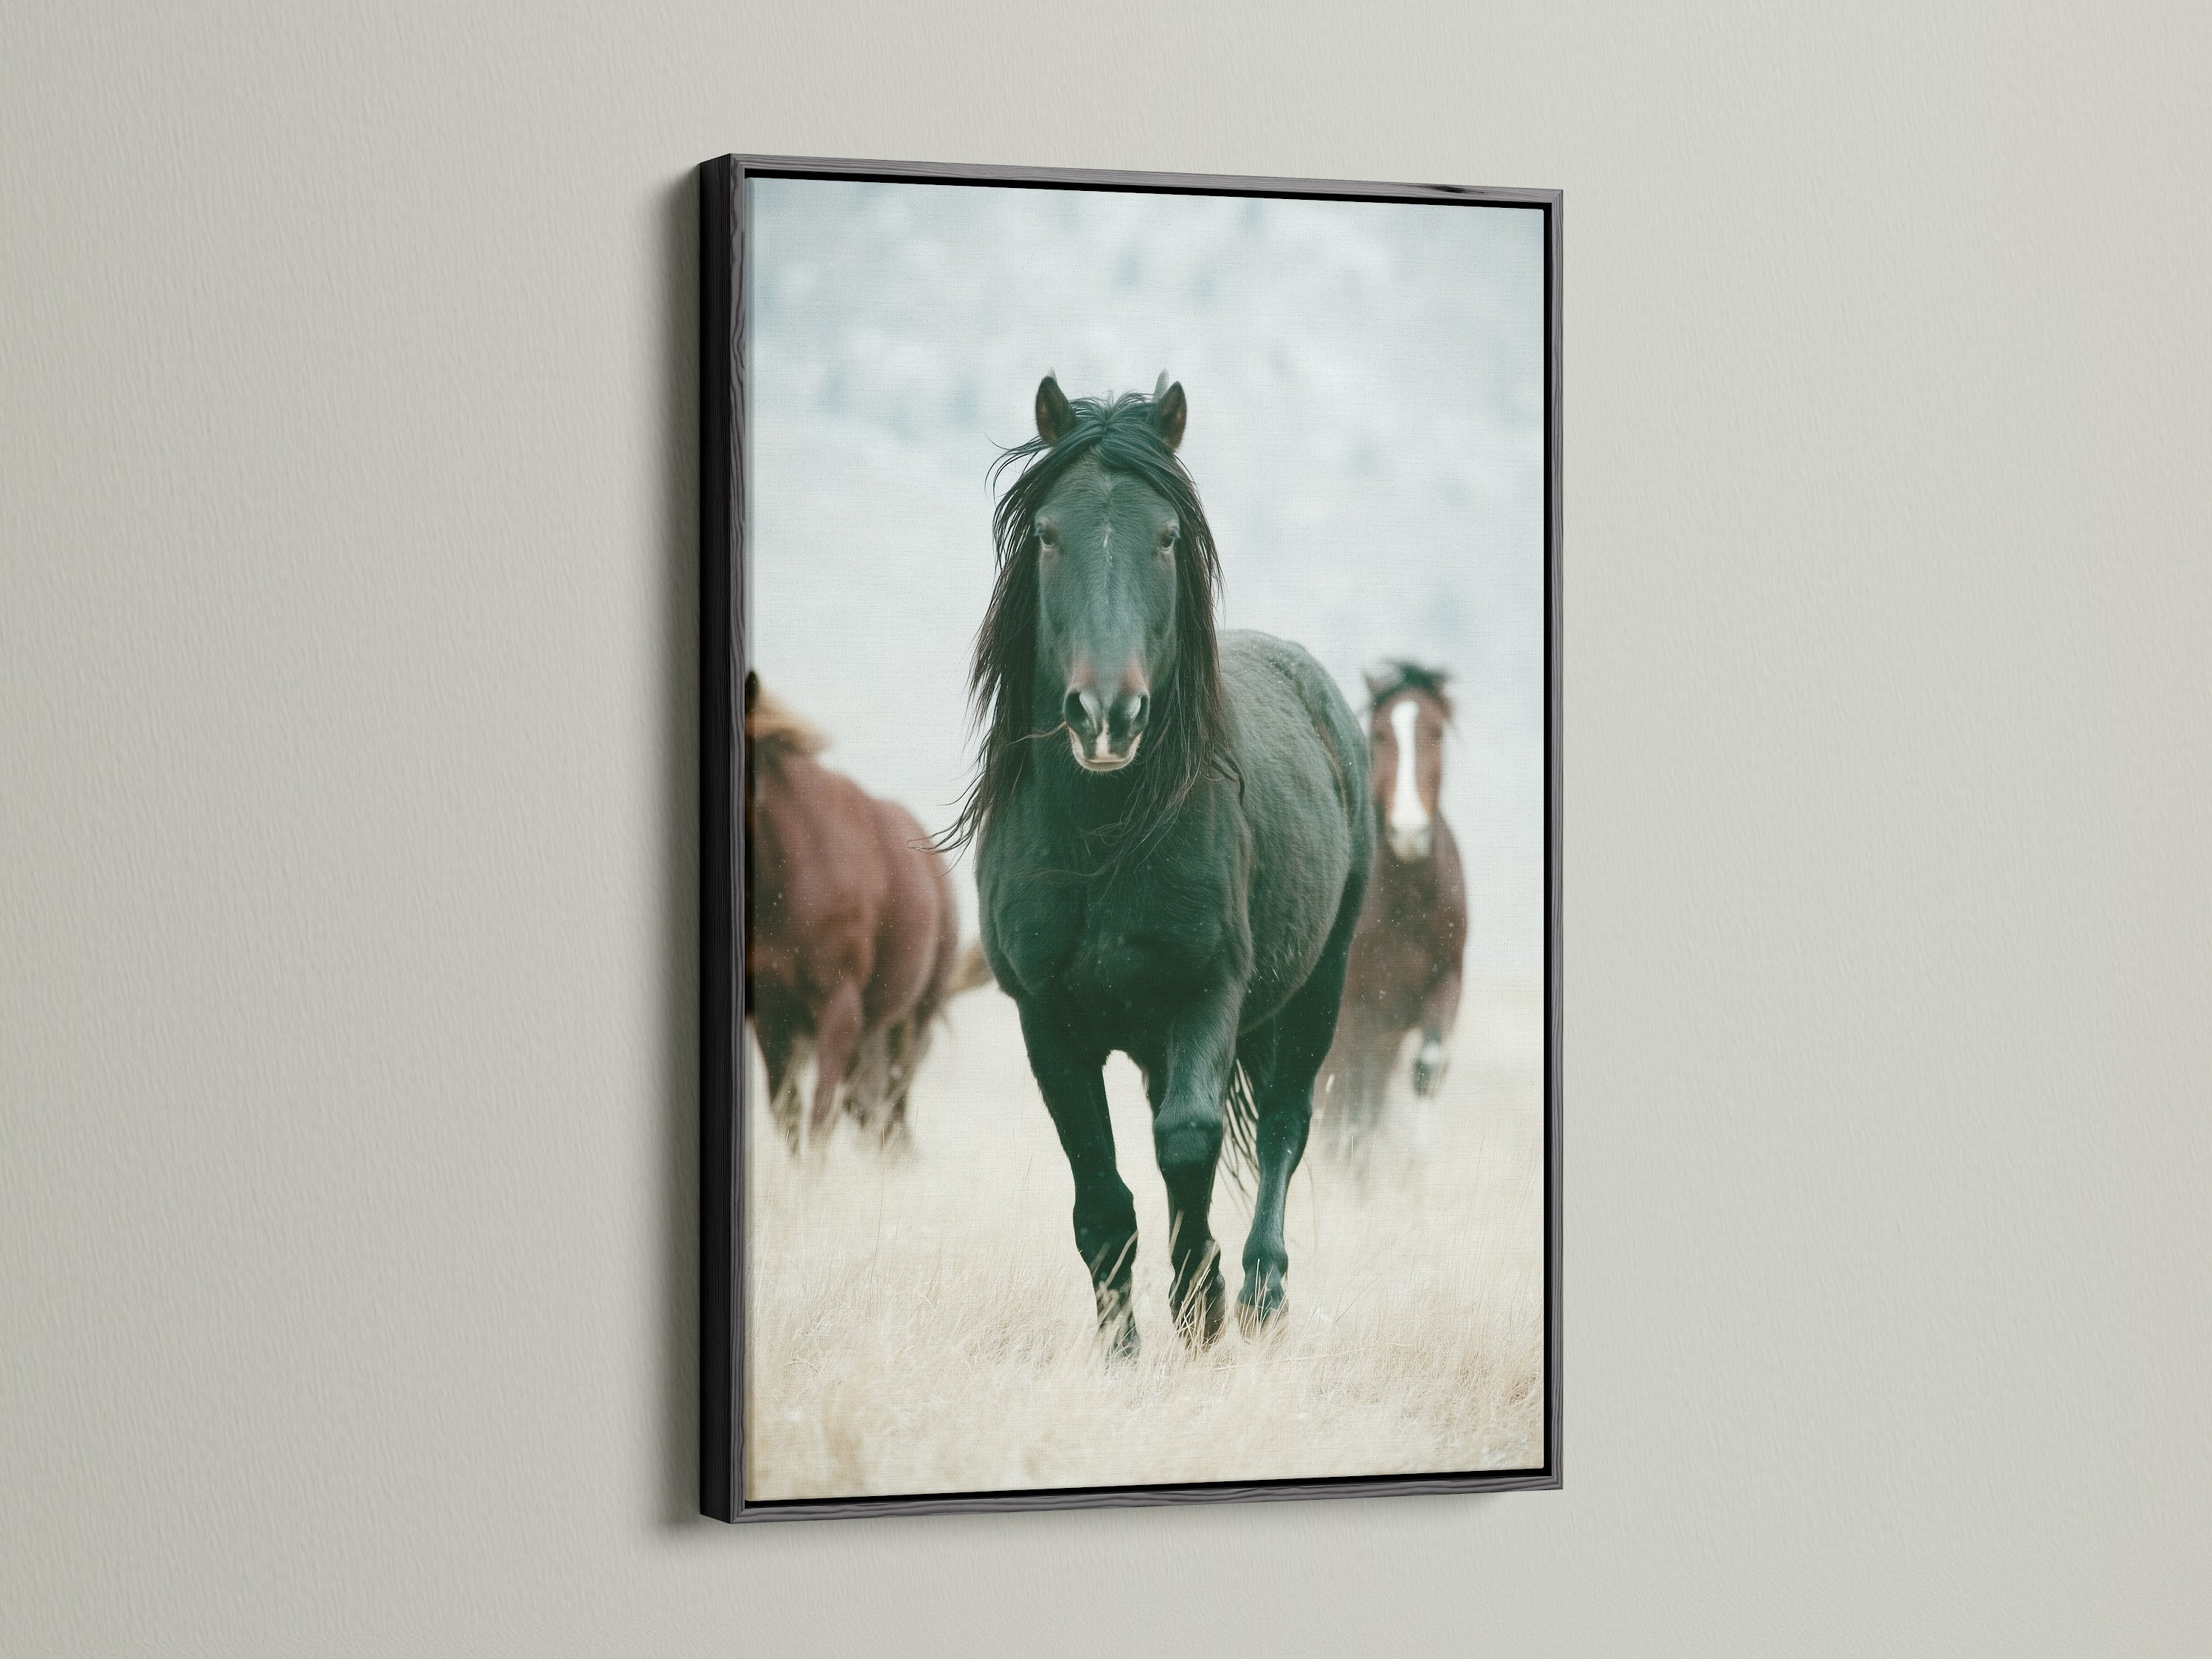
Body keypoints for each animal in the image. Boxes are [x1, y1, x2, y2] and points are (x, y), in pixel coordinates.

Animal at [744, 673, 960, 1155]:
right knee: (870, 1111)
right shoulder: (772, 1017)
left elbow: (818, 1121)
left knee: (891, 1111)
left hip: (910, 1022)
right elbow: (789, 1118)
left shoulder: (839, 1010)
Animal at [944, 373, 1372, 1356]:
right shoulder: (1047, 1023)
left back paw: (1259, 1292)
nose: (1108, 714)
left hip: (1319, 985)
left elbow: (1188, 1140)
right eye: (1048, 534)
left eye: (1168, 536)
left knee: (1284, 1126)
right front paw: (1123, 1351)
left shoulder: (1208, 991)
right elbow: (1102, 1196)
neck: (1102, 844)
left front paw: (1201, 1306)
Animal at [1321, 662, 1468, 1170]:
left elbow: (1426, 1068)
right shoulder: (1356, 1010)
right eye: (1380, 734)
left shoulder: (1446, 981)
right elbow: (1352, 1101)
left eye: (1436, 733)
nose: (1408, 832)